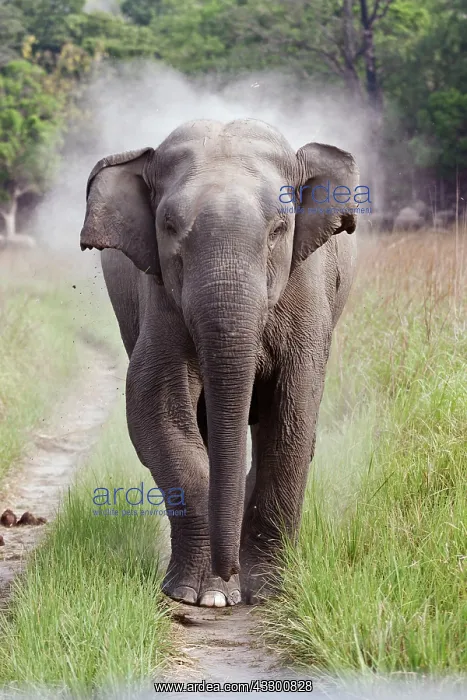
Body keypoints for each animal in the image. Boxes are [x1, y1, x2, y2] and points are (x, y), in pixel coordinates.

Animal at [80, 118, 359, 607]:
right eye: (168, 226)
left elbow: (294, 413)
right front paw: (198, 594)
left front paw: (267, 591)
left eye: (279, 229)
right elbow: (155, 408)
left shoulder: (307, 287)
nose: (230, 576)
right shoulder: (159, 297)